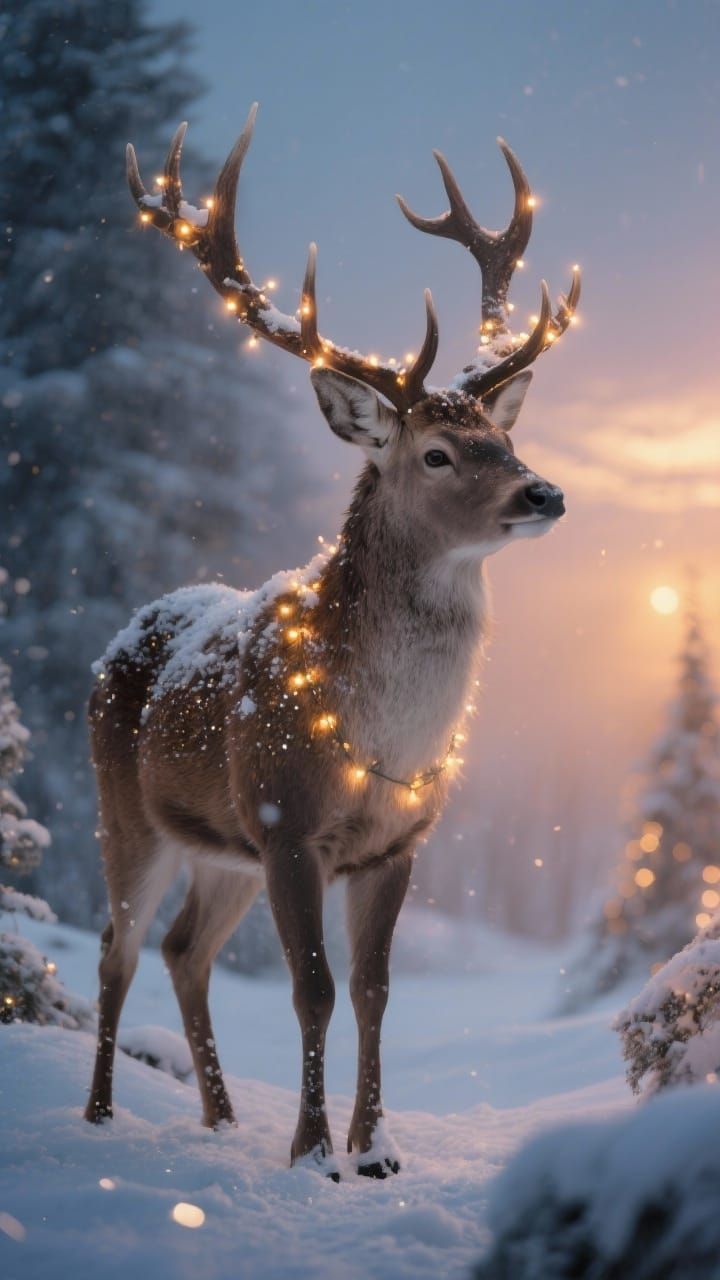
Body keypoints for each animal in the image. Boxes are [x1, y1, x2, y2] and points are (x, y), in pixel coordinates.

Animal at [84, 103, 580, 1180]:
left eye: (505, 439)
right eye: (436, 453)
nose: (544, 492)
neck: (377, 743)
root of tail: (124, 634)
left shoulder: (398, 841)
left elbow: (372, 988)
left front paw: (374, 1147)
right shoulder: (284, 817)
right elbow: (310, 985)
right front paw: (313, 1149)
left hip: (219, 847)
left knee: (185, 948)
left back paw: (222, 1119)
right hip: (125, 809)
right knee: (118, 947)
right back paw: (100, 1113)